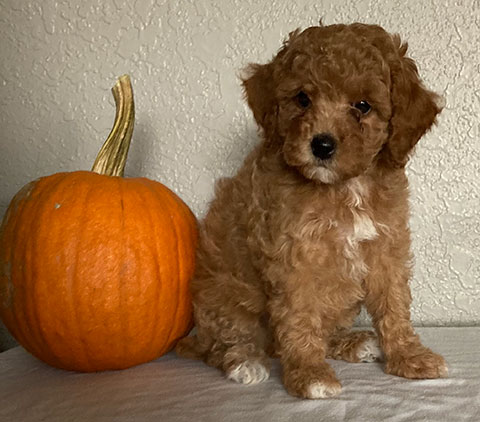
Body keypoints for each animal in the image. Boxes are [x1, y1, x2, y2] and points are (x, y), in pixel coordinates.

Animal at [175, 23, 446, 398]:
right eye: (302, 99)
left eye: (362, 106)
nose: (322, 144)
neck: (344, 187)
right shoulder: (294, 257)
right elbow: (300, 317)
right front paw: (309, 374)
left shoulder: (386, 248)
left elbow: (394, 305)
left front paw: (409, 356)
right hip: (224, 300)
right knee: (224, 344)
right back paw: (244, 361)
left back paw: (354, 343)